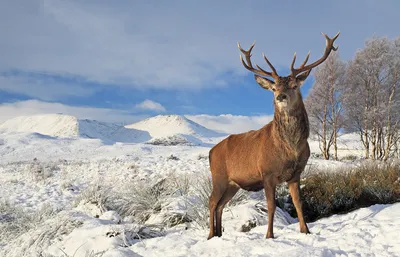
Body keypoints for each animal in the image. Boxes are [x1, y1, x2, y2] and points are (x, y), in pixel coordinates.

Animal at [208, 31, 340, 238]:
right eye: (274, 88)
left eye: (294, 85)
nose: (280, 97)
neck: (291, 149)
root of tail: (211, 152)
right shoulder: (267, 173)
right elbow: (271, 206)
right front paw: (269, 235)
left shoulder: (295, 174)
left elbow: (298, 203)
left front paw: (305, 231)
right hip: (219, 176)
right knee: (212, 202)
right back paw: (210, 235)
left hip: (232, 184)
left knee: (221, 204)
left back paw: (219, 235)